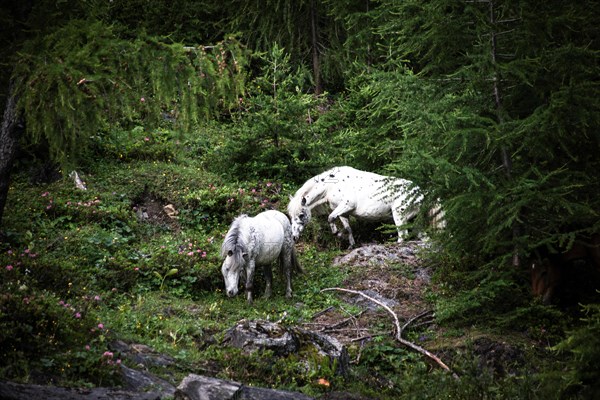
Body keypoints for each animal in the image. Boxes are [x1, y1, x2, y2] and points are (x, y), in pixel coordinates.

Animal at [286, 166, 440, 247]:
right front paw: (350, 244)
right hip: (415, 220)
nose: (294, 237)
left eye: (301, 215)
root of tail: (421, 192)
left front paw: (338, 234)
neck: (332, 185)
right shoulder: (343, 212)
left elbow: (330, 218)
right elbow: (348, 228)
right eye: (291, 216)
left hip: (399, 216)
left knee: (403, 235)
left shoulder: (346, 205)